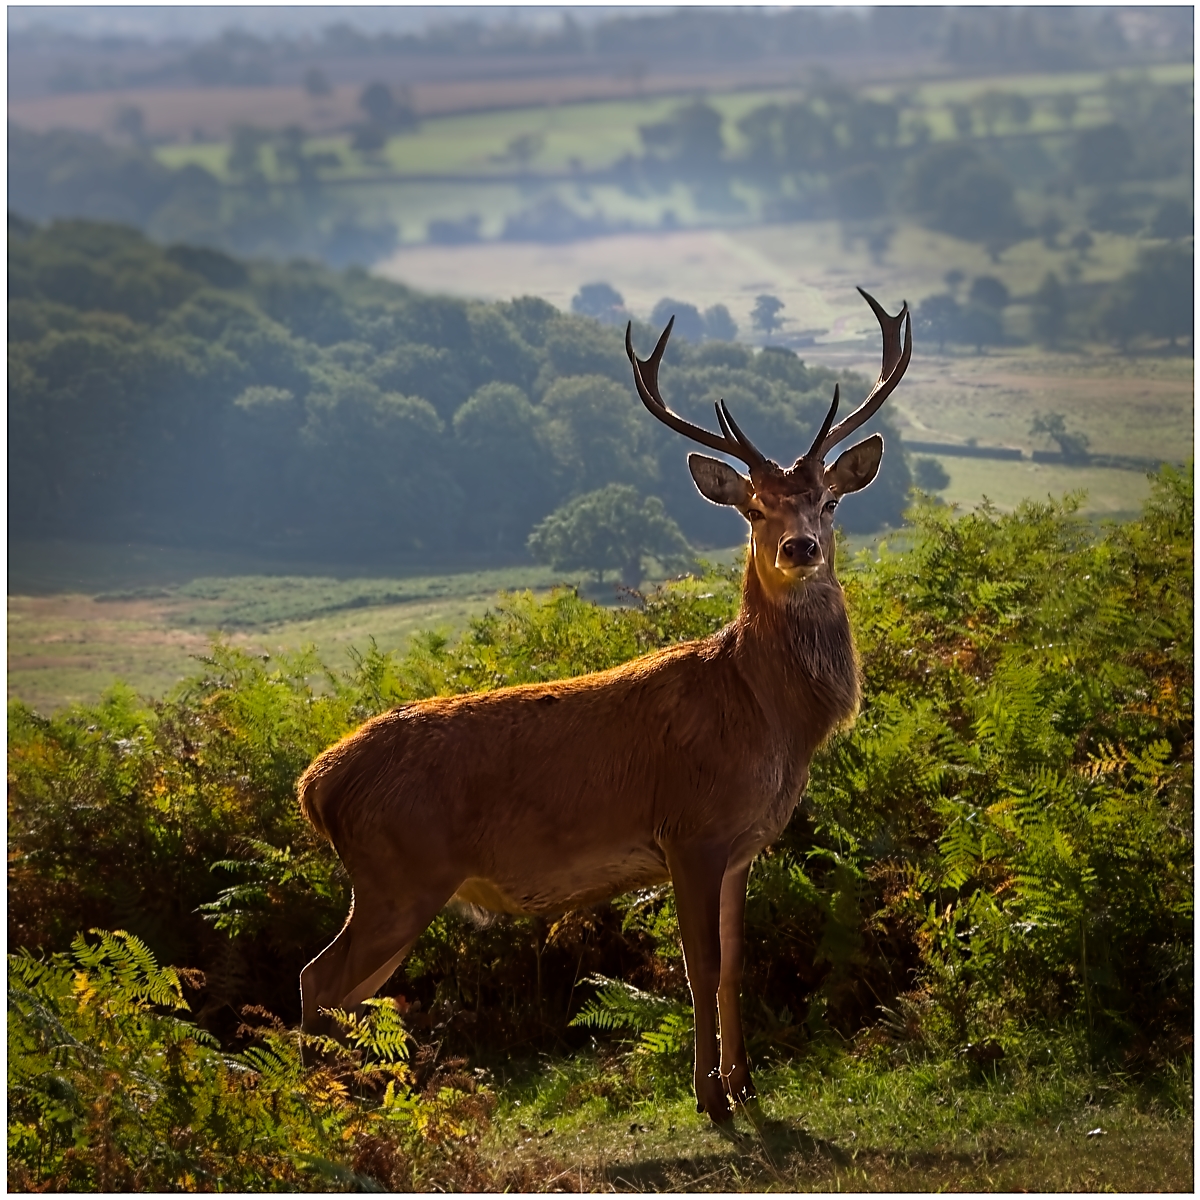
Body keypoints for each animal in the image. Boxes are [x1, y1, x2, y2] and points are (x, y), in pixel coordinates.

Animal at [297, 287, 911, 1122]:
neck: (769, 717)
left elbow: (734, 964)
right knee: (318, 980)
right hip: (397, 872)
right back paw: (319, 1112)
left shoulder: (742, 846)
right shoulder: (689, 829)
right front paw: (710, 1098)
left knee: (343, 990)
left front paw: (748, 1087)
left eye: (829, 502)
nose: (800, 548)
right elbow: (696, 966)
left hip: (392, 880)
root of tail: (315, 785)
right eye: (754, 509)